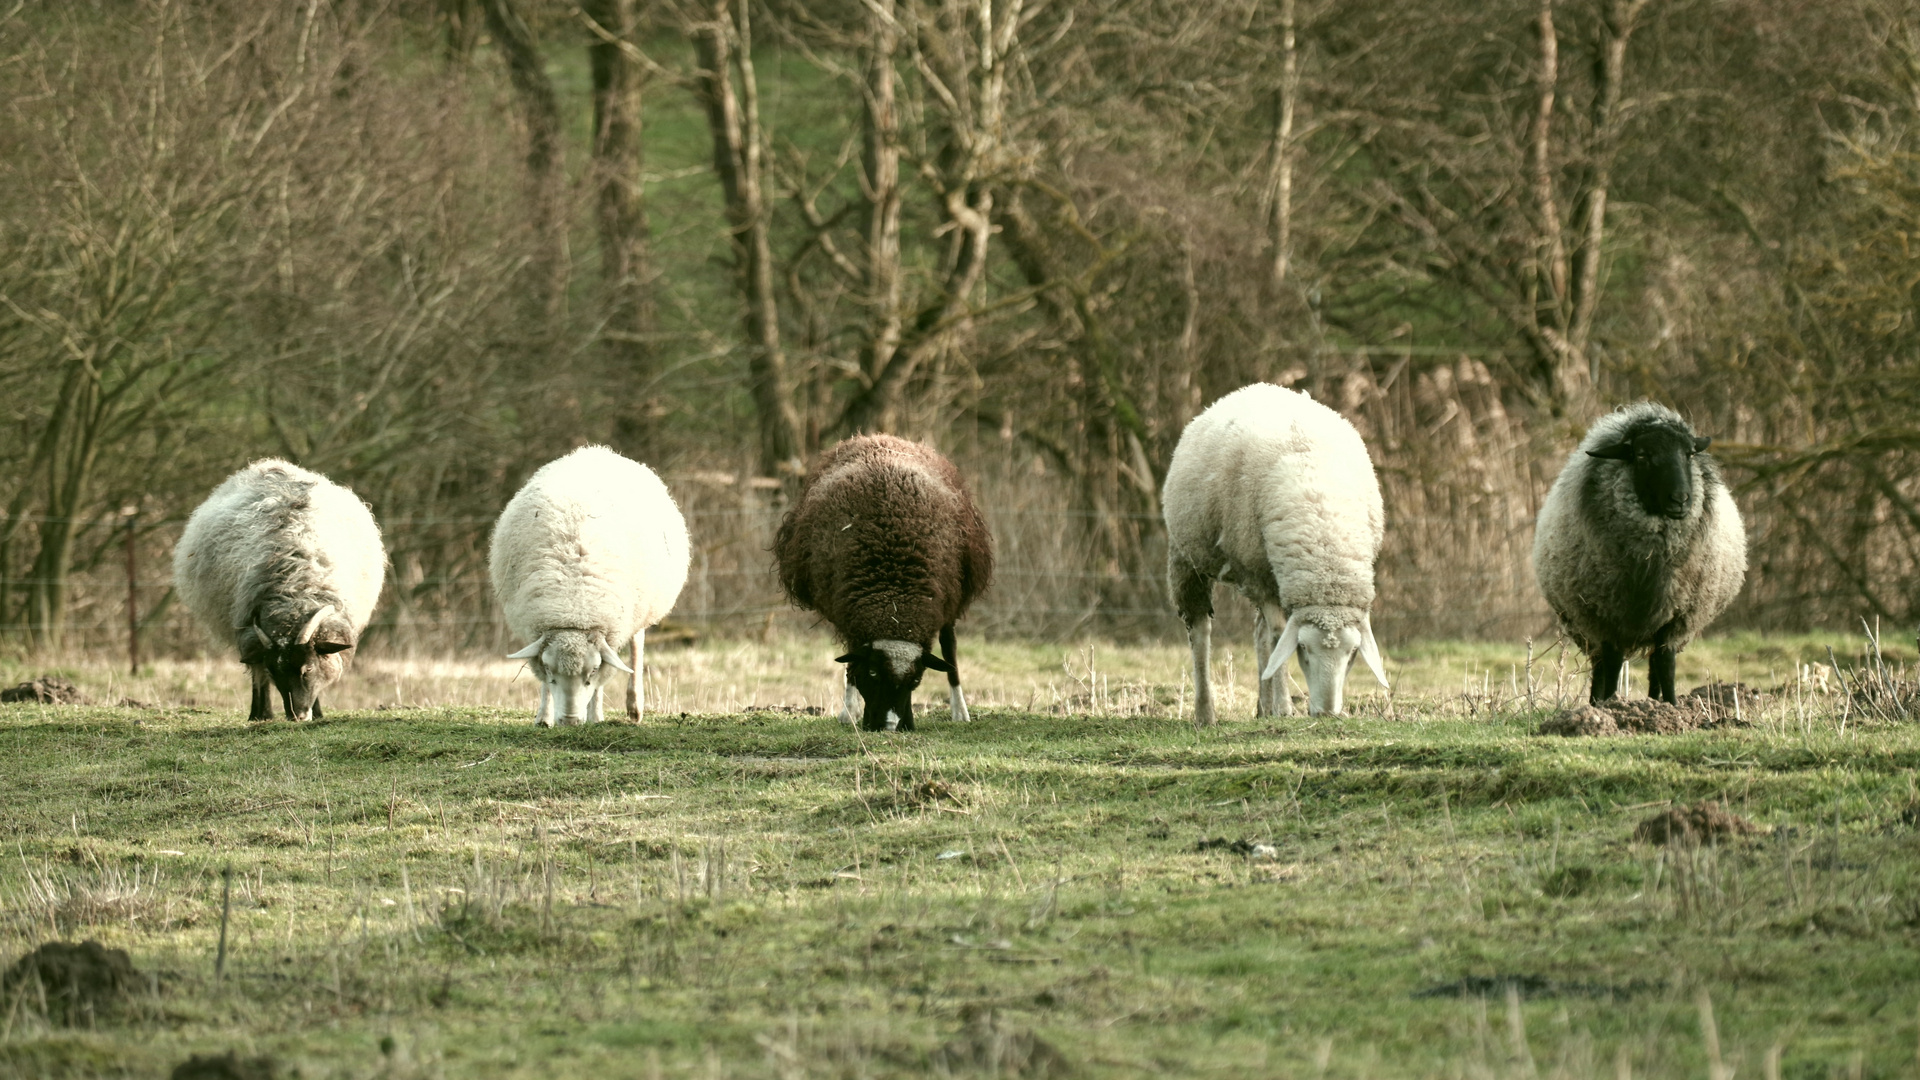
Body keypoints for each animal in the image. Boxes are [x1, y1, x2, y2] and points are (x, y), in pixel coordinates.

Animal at [176, 457, 389, 718]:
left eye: (307, 669)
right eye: (275, 672)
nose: (296, 716)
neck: (295, 595)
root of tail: (268, 465)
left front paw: (318, 712)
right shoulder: (249, 628)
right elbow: (259, 672)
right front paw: (262, 713)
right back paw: (261, 713)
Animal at [487, 441, 691, 726]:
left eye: (592, 670)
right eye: (549, 668)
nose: (570, 721)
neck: (574, 604)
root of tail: (595, 450)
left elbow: (602, 682)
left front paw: (596, 716)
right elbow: (543, 683)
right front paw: (544, 717)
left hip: (639, 609)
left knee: (636, 646)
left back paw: (634, 706)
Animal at [771, 432, 998, 726]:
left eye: (916, 679)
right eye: (873, 673)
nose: (890, 726)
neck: (893, 602)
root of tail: (879, 436)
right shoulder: (846, 610)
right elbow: (852, 661)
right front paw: (850, 712)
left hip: (954, 593)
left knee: (949, 647)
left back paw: (960, 711)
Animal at [1159, 382, 1390, 718]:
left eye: (1353, 653)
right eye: (1303, 648)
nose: (1326, 713)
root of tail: (1257, 387)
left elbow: (1270, 640)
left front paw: (1274, 704)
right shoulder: (1258, 576)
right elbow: (1279, 634)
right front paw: (1283, 707)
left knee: (1259, 634)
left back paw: (1261, 707)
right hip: (1188, 558)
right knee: (1200, 631)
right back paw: (1205, 713)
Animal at [1536, 399, 1751, 703]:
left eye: (1689, 454)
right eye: (1641, 455)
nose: (1680, 499)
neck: (1653, 560)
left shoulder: (1676, 617)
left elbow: (1666, 664)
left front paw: (1671, 705)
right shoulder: (1607, 615)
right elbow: (1613, 663)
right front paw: (1610, 704)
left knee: (1653, 667)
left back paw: (1654, 701)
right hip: (1587, 622)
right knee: (1600, 664)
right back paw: (1596, 702)